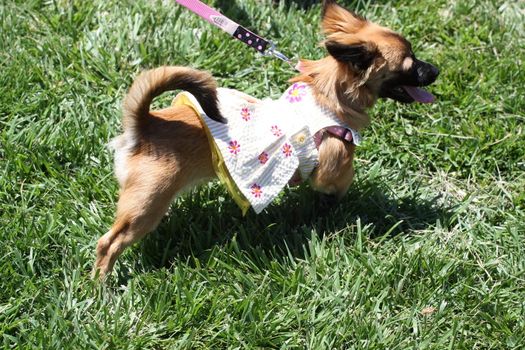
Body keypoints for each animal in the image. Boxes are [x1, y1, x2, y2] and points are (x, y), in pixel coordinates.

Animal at [93, 0, 438, 278]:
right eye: (410, 64)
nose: (435, 69)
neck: (329, 96)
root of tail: (145, 124)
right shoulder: (333, 170)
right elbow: (339, 185)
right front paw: (335, 208)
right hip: (146, 205)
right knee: (108, 243)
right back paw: (102, 286)